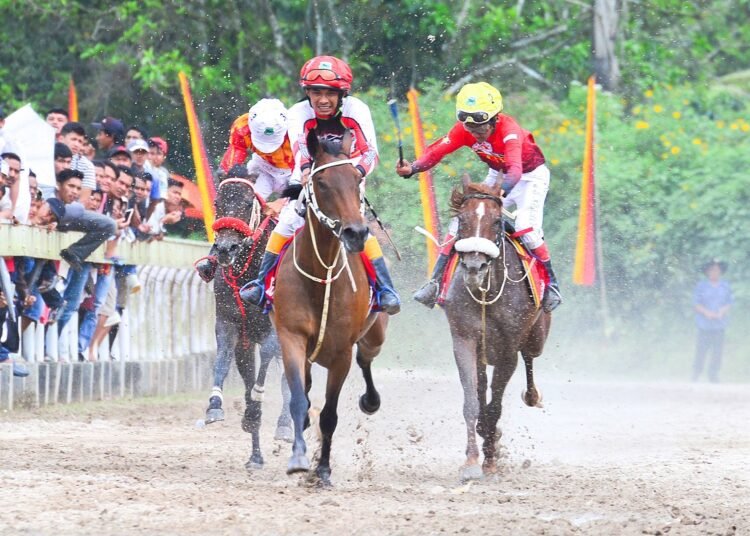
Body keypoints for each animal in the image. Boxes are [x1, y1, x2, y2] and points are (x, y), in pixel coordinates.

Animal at [206, 176, 294, 468]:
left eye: (247, 203)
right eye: (217, 202)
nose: (225, 248)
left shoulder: (278, 329)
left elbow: (266, 359)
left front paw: (258, 406)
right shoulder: (230, 323)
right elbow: (223, 359)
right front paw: (215, 406)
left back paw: (286, 427)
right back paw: (255, 455)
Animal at [272, 126, 388, 486]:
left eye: (356, 178)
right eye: (321, 183)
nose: (356, 233)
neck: (320, 277)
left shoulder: (341, 354)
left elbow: (330, 415)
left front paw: (322, 469)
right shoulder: (291, 338)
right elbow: (299, 401)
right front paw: (298, 459)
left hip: (375, 334)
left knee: (367, 358)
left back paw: (370, 400)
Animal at [440, 179, 552, 482]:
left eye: (496, 221)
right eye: (462, 220)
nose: (474, 265)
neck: (485, 293)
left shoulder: (507, 350)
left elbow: (495, 406)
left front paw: (490, 457)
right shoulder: (463, 340)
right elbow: (472, 402)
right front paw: (471, 461)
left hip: (537, 337)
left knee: (529, 357)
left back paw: (532, 395)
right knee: (481, 386)